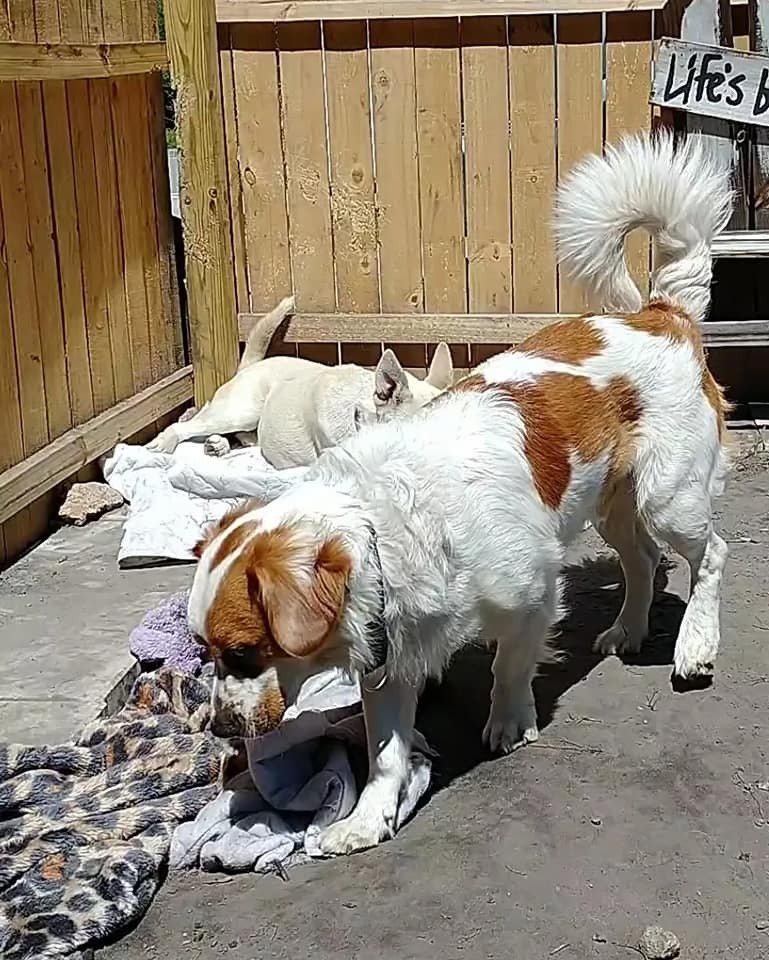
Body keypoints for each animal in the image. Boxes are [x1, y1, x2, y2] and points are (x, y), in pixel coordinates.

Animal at [188, 133, 732, 856]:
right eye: (206, 654)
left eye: (245, 654)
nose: (219, 729)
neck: (389, 532)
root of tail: (659, 315)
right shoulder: (389, 659)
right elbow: (385, 752)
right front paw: (368, 817)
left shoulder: (532, 594)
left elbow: (509, 664)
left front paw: (509, 723)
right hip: (611, 504)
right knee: (643, 562)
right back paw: (628, 629)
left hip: (668, 498)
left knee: (709, 556)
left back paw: (693, 645)